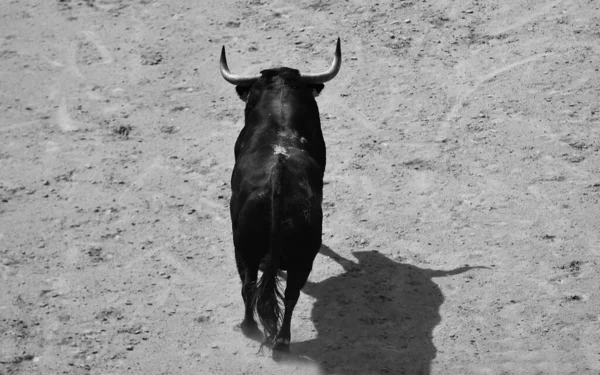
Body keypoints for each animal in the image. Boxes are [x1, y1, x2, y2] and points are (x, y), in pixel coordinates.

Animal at [220, 38, 342, 356]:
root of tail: (278, 177)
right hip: (300, 258)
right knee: (287, 295)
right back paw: (279, 341)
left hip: (244, 250)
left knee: (253, 286)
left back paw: (254, 329)